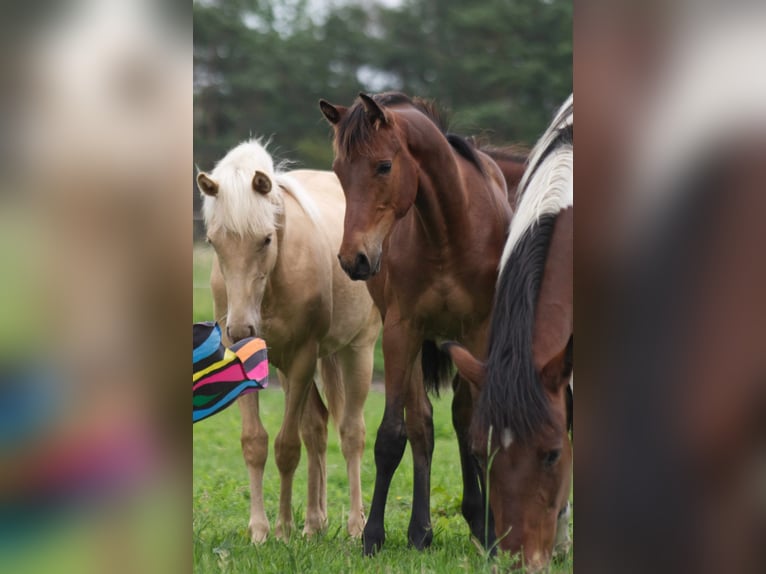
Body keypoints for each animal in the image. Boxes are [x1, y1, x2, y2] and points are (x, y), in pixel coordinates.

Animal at [195, 140, 380, 544]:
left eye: (266, 239)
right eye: (213, 241)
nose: (241, 329)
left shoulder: (302, 358)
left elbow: (286, 446)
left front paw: (281, 529)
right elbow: (255, 442)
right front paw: (261, 530)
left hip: (356, 351)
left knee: (351, 433)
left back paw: (356, 525)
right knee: (317, 428)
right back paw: (314, 523)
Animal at [320, 92, 512, 556]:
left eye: (383, 166)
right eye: (339, 172)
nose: (354, 259)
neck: (449, 230)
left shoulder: (479, 333)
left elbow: (478, 430)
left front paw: (493, 536)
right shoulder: (400, 331)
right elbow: (394, 435)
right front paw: (373, 535)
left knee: (461, 418)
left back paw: (476, 518)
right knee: (423, 425)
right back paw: (420, 530)